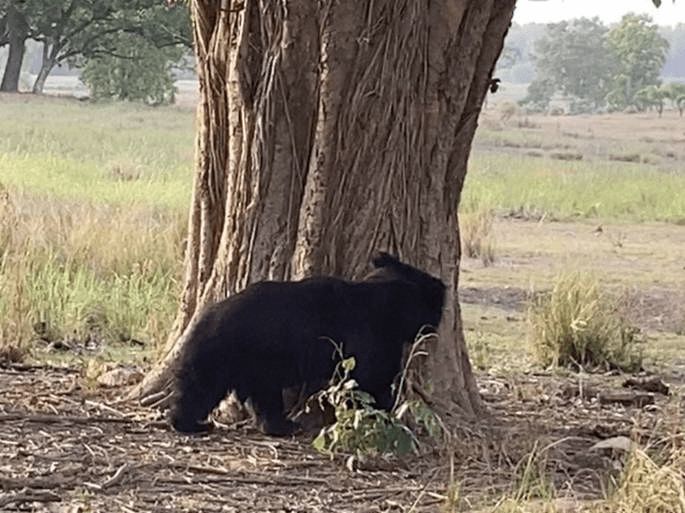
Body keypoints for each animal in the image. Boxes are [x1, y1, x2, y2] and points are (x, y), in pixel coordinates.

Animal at [170, 252, 446, 435]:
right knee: (203, 387)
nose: (435, 326)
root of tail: (208, 314)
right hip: (228, 352)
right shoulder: (371, 336)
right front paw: (383, 414)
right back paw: (190, 423)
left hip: (253, 362)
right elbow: (370, 379)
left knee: (260, 397)